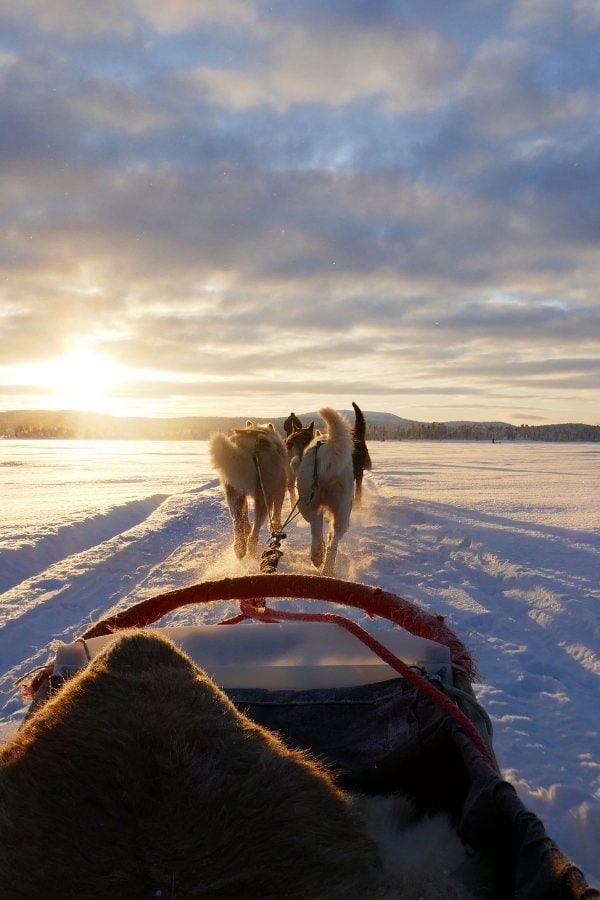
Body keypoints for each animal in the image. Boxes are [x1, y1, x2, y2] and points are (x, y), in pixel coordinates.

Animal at [210, 420, 288, 560]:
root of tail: (250, 446)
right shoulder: (280, 487)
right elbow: (277, 511)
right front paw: (275, 525)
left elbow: (245, 514)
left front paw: (247, 528)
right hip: (264, 495)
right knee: (257, 524)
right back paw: (252, 546)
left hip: (233, 494)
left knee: (238, 520)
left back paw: (240, 547)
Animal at [296, 410, 356, 576]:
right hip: (343, 512)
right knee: (333, 541)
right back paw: (326, 567)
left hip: (307, 504)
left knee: (316, 531)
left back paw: (317, 557)